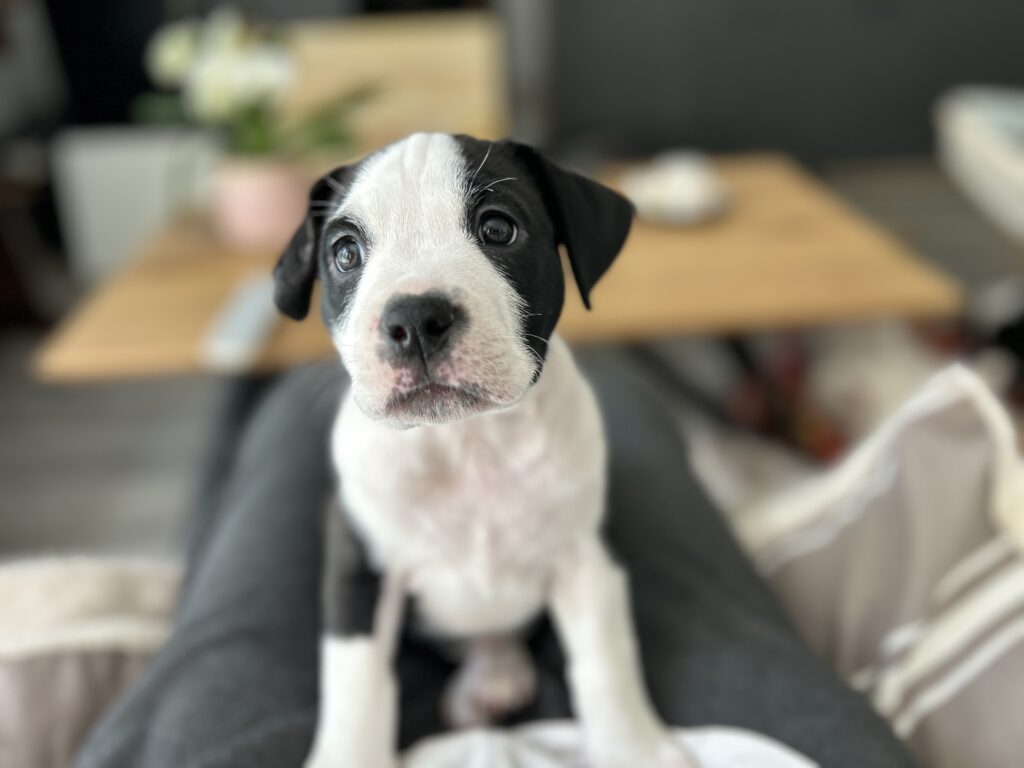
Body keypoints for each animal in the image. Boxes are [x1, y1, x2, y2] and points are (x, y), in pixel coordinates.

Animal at [273, 133, 695, 768]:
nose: (415, 317)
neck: (467, 442)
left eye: (498, 229)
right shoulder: (357, 570)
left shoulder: (584, 560)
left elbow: (605, 661)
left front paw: (634, 749)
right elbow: (358, 684)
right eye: (345, 253)